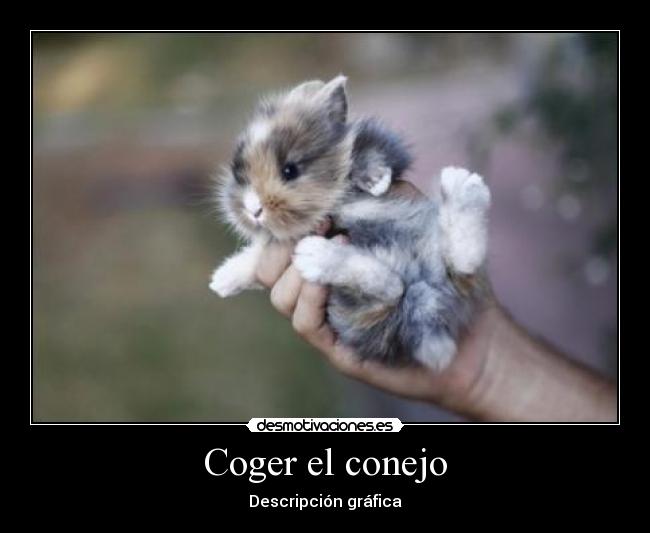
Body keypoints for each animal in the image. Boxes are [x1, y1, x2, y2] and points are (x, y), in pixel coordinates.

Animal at [209, 75, 491, 370]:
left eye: (290, 170)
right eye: (239, 175)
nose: (253, 209)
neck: (329, 204)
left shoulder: (385, 147)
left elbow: (368, 151)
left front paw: (376, 182)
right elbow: (253, 260)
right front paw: (221, 281)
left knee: (453, 266)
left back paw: (463, 185)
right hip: (361, 317)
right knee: (397, 286)